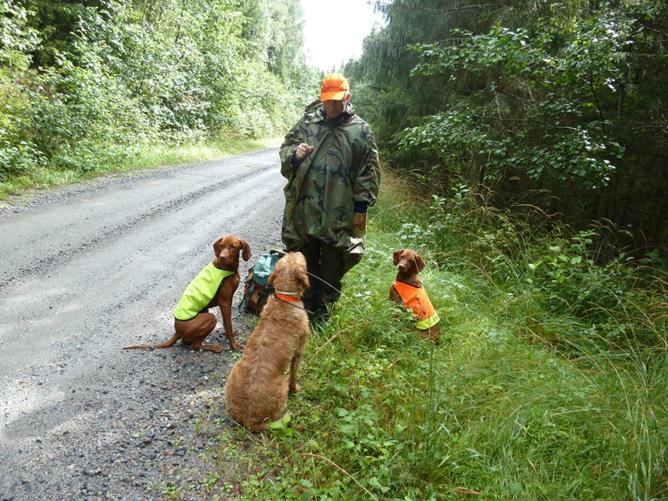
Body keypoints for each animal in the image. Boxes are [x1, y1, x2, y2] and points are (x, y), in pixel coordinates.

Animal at [222, 252, 310, 432]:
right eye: (300, 260)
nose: (296, 251)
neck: (284, 298)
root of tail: (248, 419)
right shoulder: (299, 351)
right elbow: (294, 375)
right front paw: (296, 389)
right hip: (281, 386)